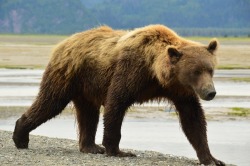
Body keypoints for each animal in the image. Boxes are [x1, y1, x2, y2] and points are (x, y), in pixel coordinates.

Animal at [12, 24, 225, 165]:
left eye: (210, 69)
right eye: (196, 71)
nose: (210, 92)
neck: (156, 73)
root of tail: (64, 42)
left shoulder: (179, 90)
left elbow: (193, 119)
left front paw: (212, 158)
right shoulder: (131, 70)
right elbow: (116, 102)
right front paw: (118, 150)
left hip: (86, 86)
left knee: (88, 114)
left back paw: (91, 147)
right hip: (68, 73)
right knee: (50, 102)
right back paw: (20, 136)